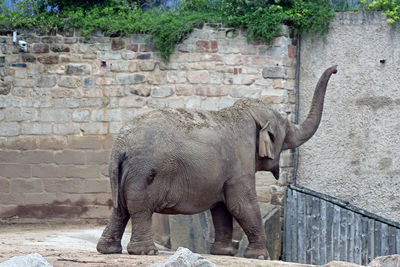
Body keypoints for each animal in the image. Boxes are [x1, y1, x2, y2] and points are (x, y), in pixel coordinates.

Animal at [97, 65, 338, 260]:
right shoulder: (240, 161)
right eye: (286, 131)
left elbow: (222, 207)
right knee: (140, 209)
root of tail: (120, 144)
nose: (336, 69)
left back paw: (108, 250)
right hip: (143, 173)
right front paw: (261, 256)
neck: (242, 113)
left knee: (120, 209)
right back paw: (145, 252)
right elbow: (241, 203)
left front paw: (224, 253)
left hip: (122, 175)